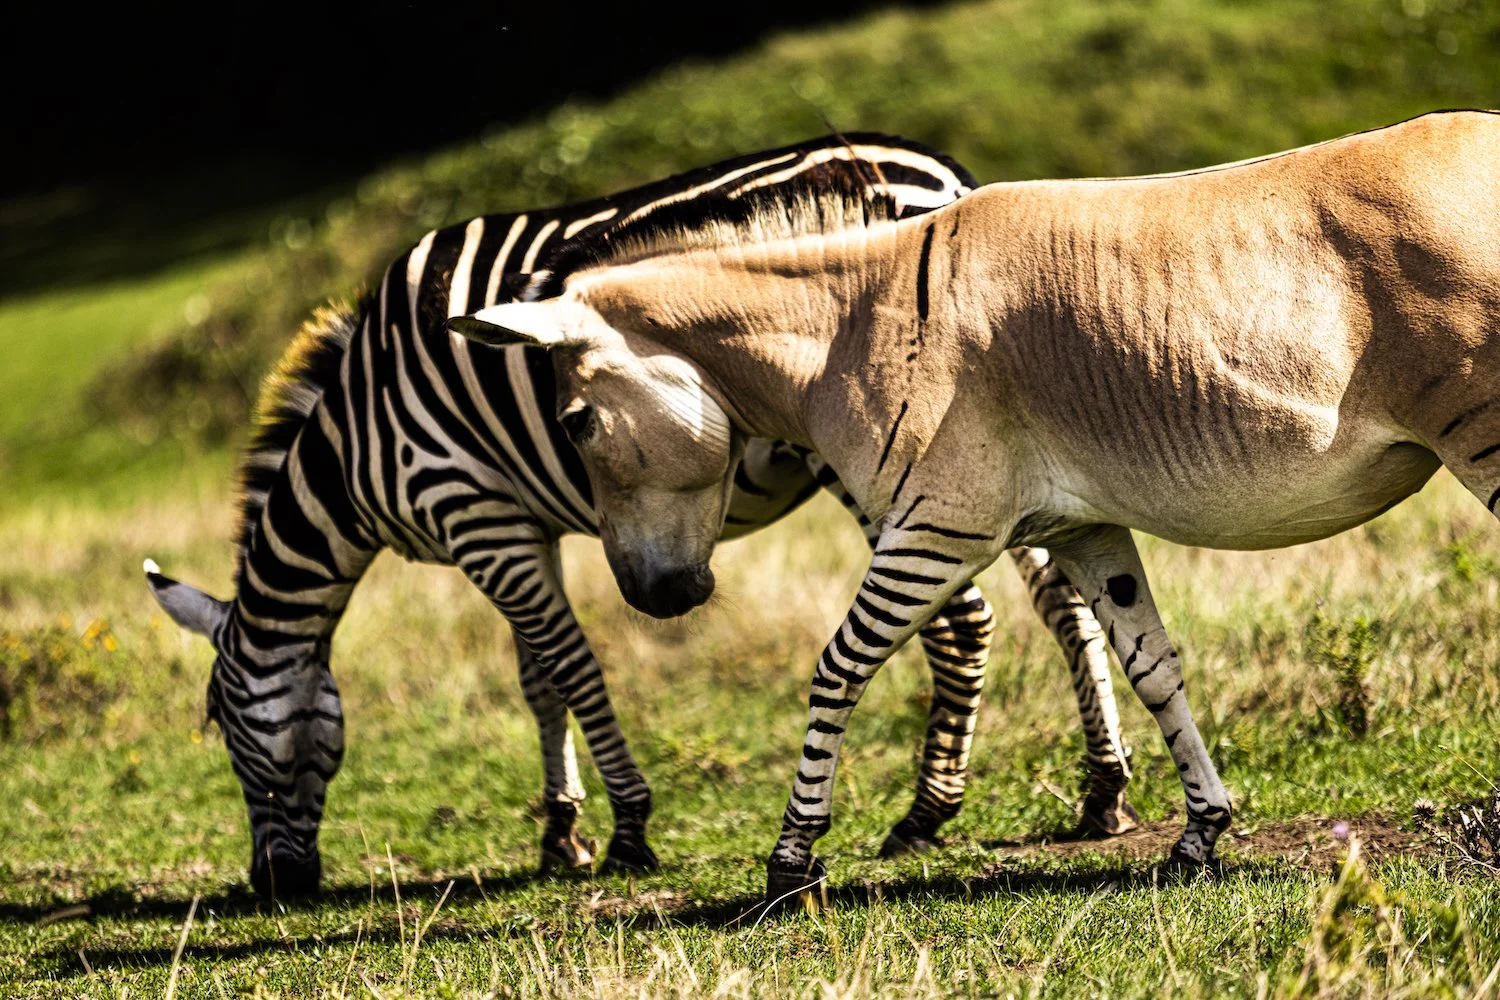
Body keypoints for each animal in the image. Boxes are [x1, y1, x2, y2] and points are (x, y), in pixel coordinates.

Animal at [145, 134, 1138, 899]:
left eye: (228, 735)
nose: (272, 887)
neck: (355, 444)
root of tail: (941, 174)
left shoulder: (471, 510)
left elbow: (573, 664)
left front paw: (626, 830)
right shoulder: (519, 523)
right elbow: (536, 677)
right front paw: (561, 834)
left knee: (961, 621)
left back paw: (927, 812)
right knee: (1065, 605)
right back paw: (1102, 790)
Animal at [446, 110, 1500, 906]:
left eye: (575, 422)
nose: (653, 601)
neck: (851, 327)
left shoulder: (936, 528)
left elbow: (837, 670)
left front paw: (792, 865)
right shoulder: (1082, 524)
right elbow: (1152, 666)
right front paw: (1201, 832)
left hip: (1480, 435)